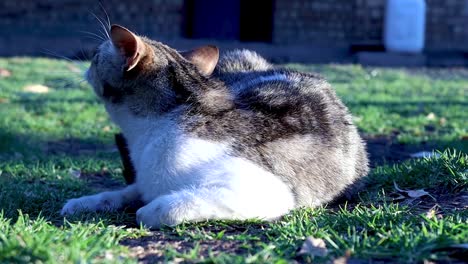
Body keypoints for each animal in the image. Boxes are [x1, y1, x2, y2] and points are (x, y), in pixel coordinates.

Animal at [61, 23, 370, 228]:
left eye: (96, 57)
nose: (86, 63)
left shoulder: (265, 188)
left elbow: (163, 208)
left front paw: (148, 210)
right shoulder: (144, 180)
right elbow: (130, 190)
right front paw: (89, 201)